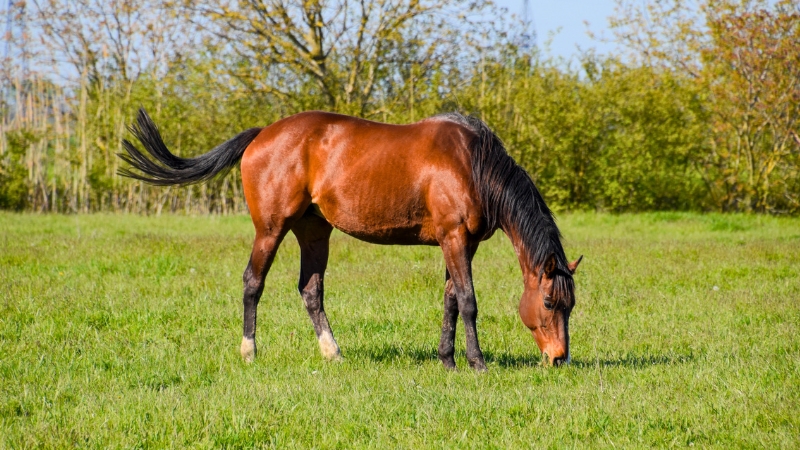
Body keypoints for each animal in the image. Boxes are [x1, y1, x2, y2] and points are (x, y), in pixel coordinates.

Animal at [119, 109, 582, 371]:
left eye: (570, 304)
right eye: (547, 302)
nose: (559, 359)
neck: (473, 164)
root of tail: (263, 133)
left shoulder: (458, 244)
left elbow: (450, 301)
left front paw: (447, 360)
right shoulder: (454, 239)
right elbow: (468, 302)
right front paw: (477, 362)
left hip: (313, 230)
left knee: (310, 290)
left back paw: (332, 353)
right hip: (270, 228)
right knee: (253, 283)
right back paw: (249, 352)